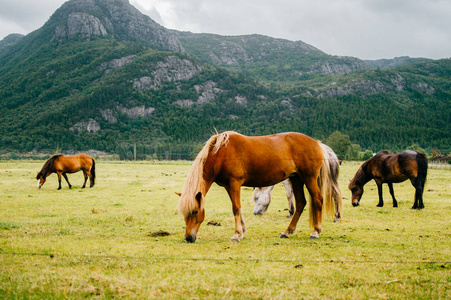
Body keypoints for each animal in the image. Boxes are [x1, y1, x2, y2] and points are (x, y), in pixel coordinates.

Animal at [178, 130, 340, 243]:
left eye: (194, 211)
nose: (189, 238)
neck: (221, 153)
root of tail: (317, 143)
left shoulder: (234, 184)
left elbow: (236, 208)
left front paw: (236, 235)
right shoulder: (228, 186)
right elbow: (238, 208)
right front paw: (242, 231)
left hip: (309, 179)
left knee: (318, 200)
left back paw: (315, 232)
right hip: (296, 179)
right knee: (301, 203)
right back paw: (287, 232)